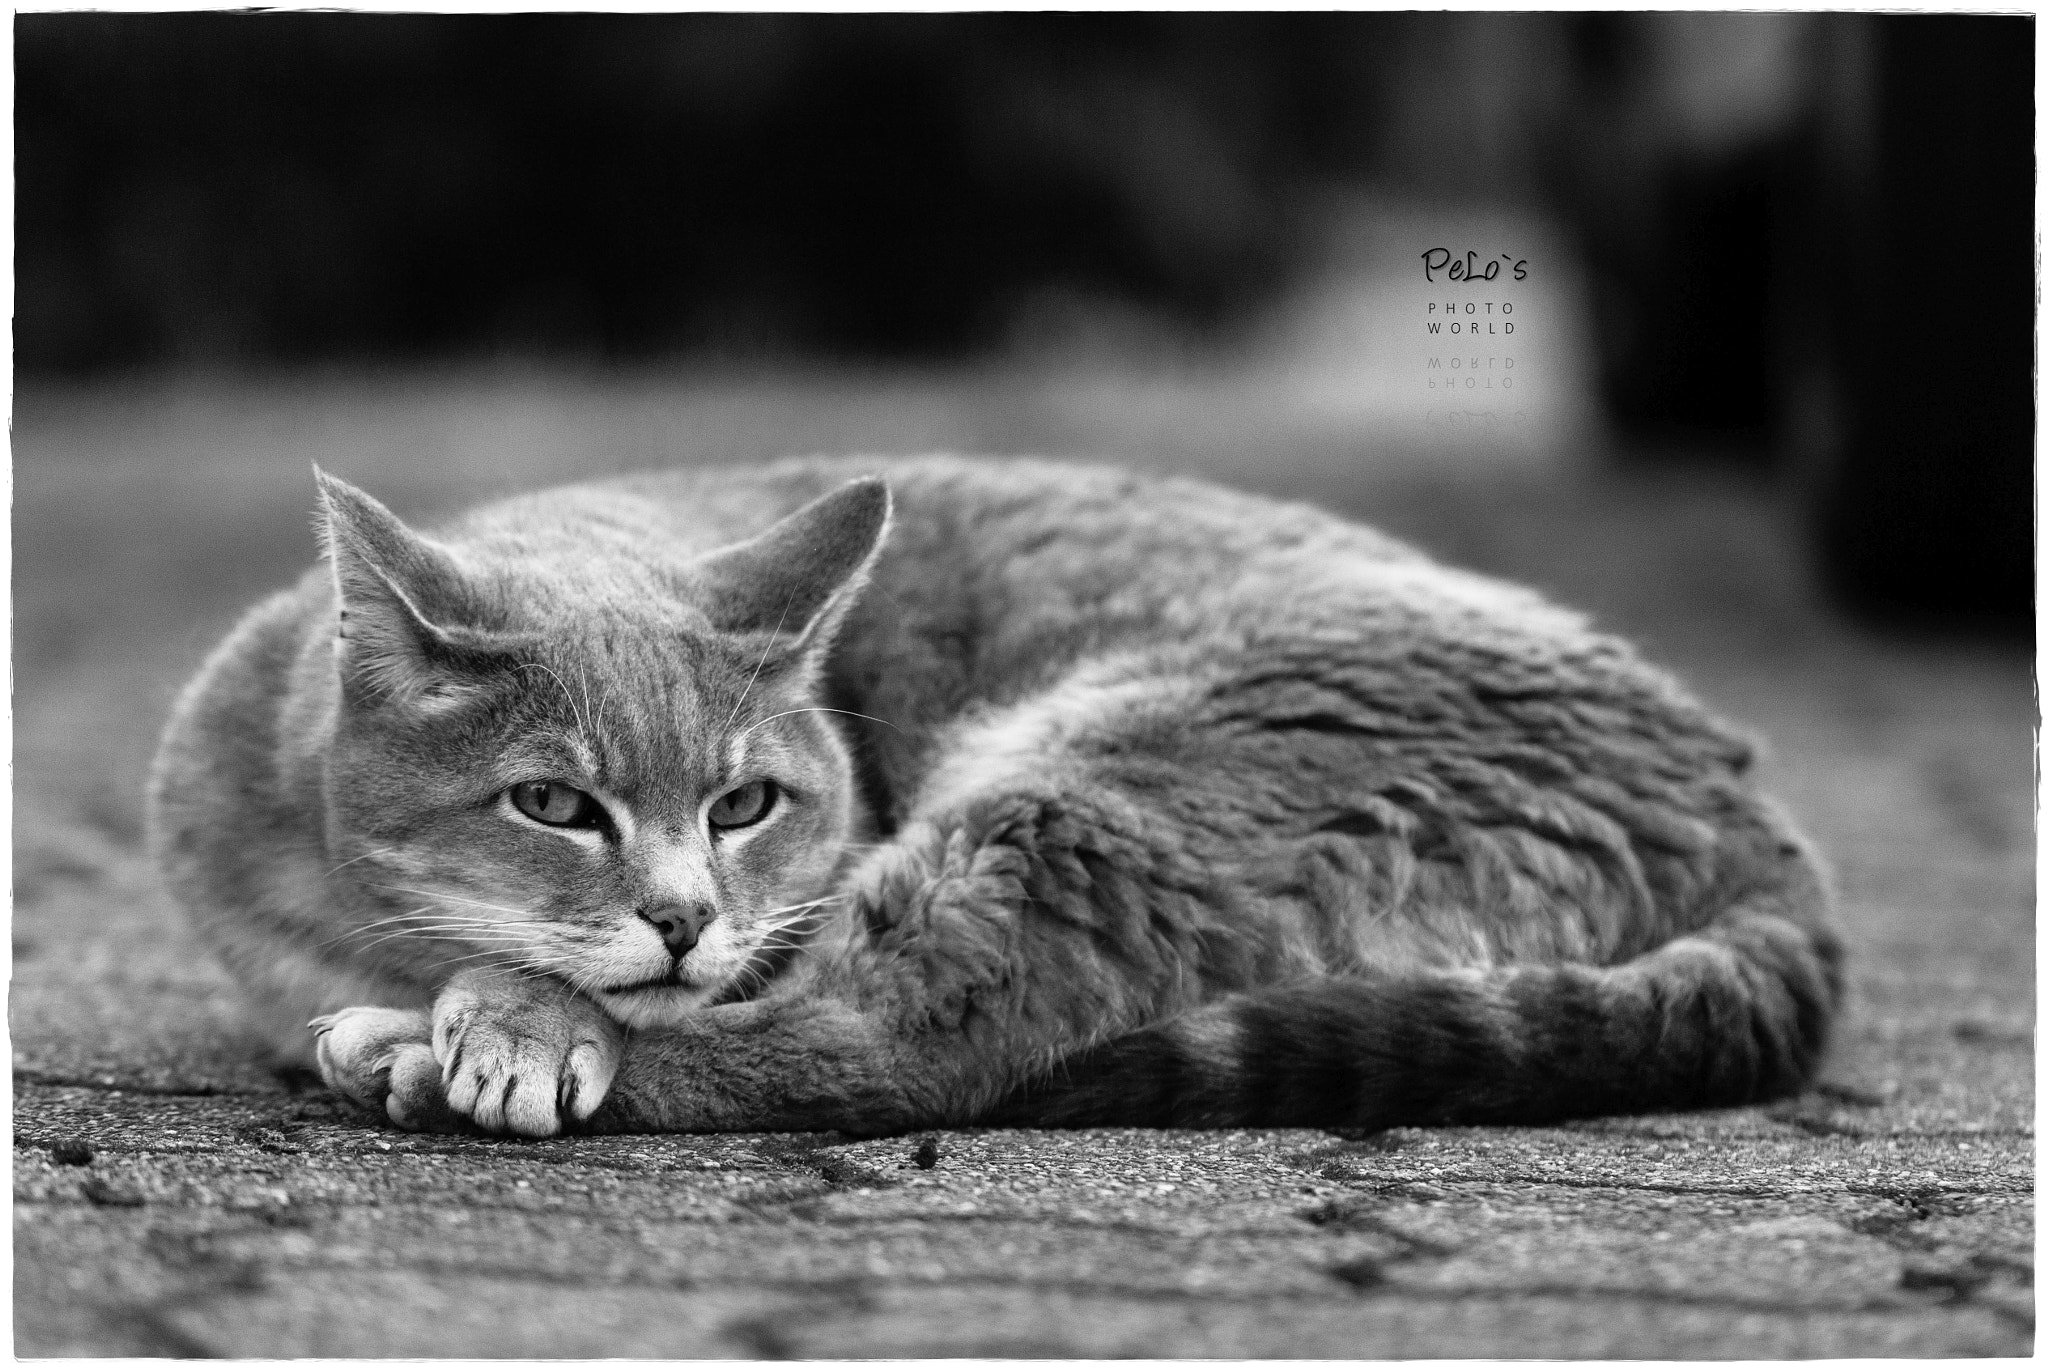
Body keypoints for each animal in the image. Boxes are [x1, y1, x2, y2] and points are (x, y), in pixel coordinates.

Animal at [144, 454, 1843, 1139]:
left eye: (746, 804)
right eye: (555, 806)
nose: (686, 917)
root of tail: (1754, 813)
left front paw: (511, 1028)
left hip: (1096, 792)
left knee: (889, 1043)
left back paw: (423, 1057)